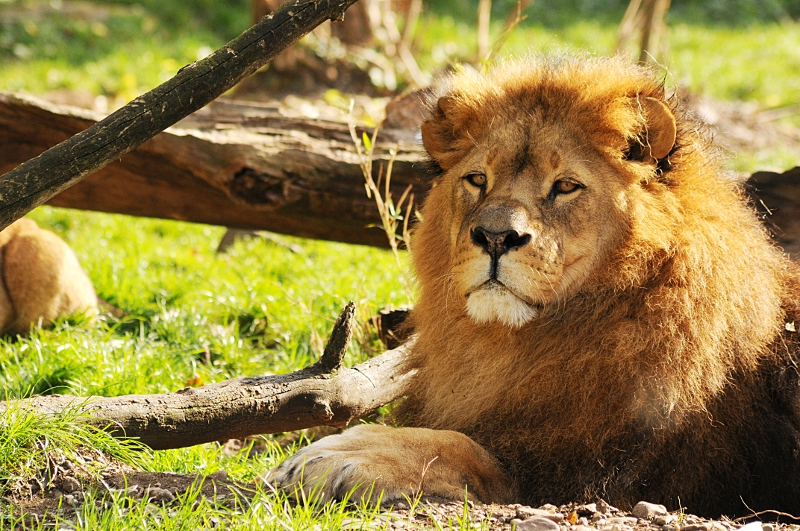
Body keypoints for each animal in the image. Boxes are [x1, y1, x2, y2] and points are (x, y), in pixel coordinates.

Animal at [266, 55, 800, 517]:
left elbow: (465, 448)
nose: (495, 236)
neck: (521, 343)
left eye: (565, 186)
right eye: (477, 180)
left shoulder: (600, 470)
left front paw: (338, 456)